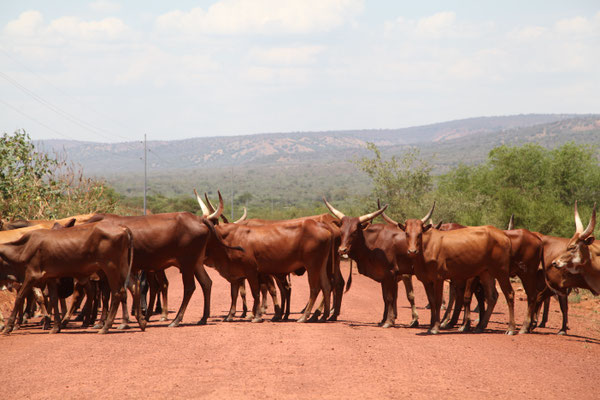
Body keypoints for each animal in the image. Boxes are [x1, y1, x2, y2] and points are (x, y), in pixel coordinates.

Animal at [0, 222, 142, 334]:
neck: (23, 249)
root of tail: (122, 227)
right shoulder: (50, 278)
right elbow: (53, 299)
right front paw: (55, 327)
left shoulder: (31, 276)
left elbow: (19, 298)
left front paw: (8, 327)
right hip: (123, 267)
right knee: (134, 286)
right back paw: (141, 322)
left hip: (111, 268)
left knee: (117, 293)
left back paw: (105, 327)